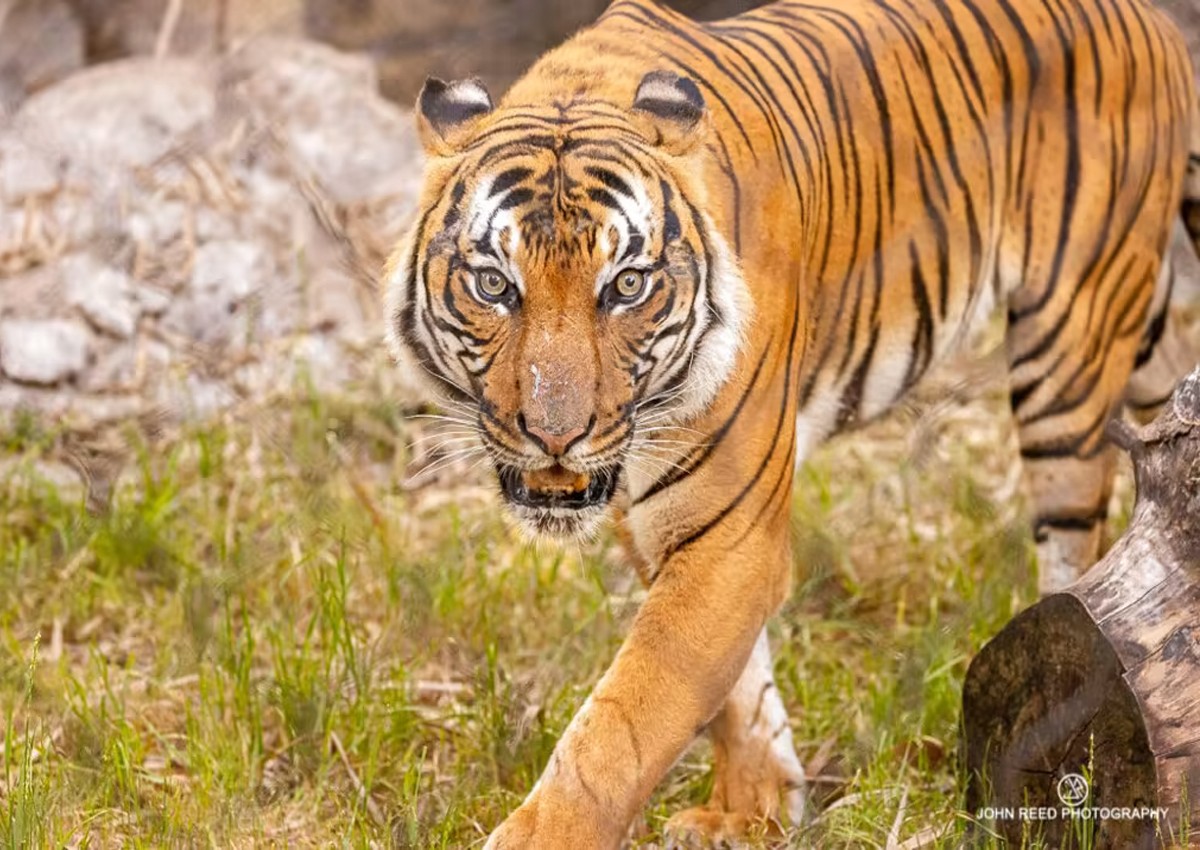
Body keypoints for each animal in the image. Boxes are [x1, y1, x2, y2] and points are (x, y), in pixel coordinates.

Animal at [385, 0, 1200, 844]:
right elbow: (732, 692)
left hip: (1068, 348)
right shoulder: (665, 523)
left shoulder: (728, 532)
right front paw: (756, 812)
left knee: (1079, 545)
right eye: (493, 285)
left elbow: (626, 718)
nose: (554, 433)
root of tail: (1153, 23)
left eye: (627, 286)